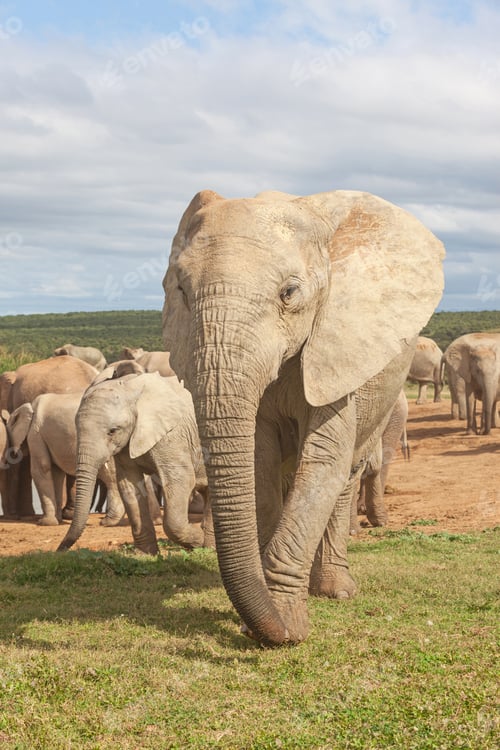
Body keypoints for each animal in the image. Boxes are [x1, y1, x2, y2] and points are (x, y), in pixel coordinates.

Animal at [6, 392, 125, 526]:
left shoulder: (35, 433)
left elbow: (41, 469)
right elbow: (57, 473)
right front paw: (57, 520)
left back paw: (109, 521)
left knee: (111, 478)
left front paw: (46, 522)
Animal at [57, 372, 212, 555]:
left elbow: (181, 479)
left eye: (112, 431)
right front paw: (146, 555)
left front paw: (197, 541)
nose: (60, 550)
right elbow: (129, 485)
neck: (129, 387)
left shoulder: (173, 435)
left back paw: (208, 545)